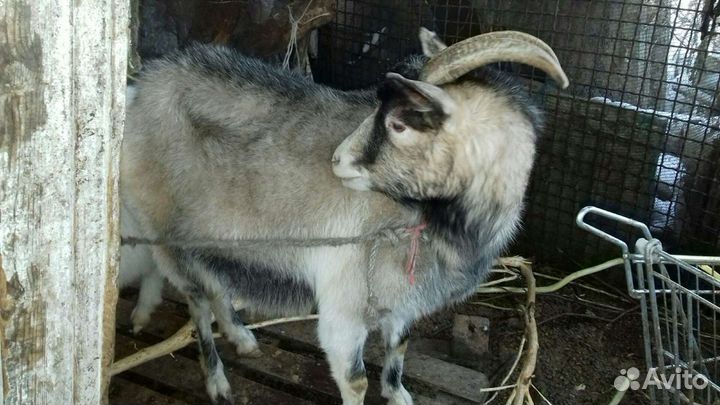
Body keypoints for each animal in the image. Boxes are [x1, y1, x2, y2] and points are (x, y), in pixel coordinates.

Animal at [120, 28, 568, 405]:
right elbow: (355, 381)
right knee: (196, 297)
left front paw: (398, 394)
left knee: (215, 285)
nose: (337, 159)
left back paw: (241, 336)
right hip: (164, 232)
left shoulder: (404, 300)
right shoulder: (343, 307)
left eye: (398, 123)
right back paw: (216, 380)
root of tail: (141, 87)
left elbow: (399, 346)